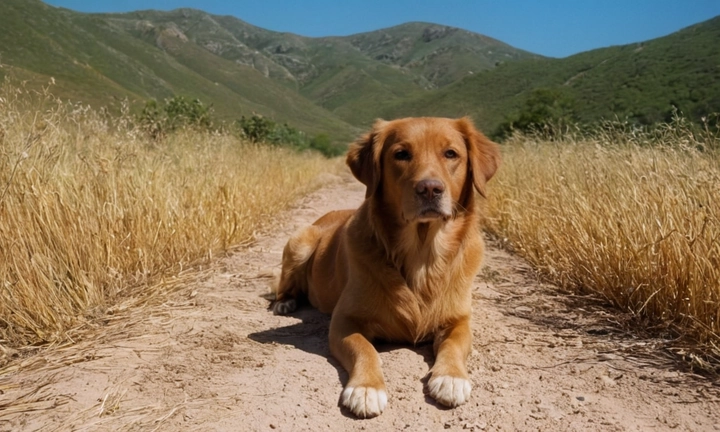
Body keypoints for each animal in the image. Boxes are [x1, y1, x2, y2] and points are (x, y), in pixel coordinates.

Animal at [270, 116, 500, 416]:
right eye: (401, 154)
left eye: (451, 154)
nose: (430, 188)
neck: (421, 257)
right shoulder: (344, 320)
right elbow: (364, 348)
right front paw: (367, 388)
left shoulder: (459, 319)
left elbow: (454, 344)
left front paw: (451, 378)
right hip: (300, 240)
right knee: (283, 286)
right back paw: (284, 302)